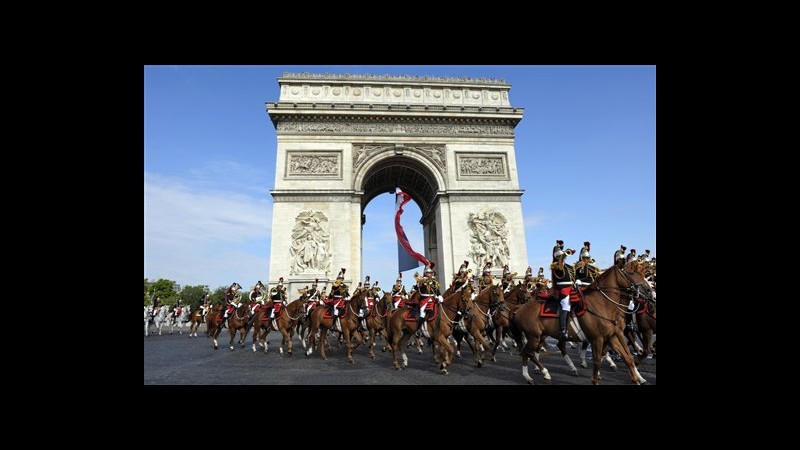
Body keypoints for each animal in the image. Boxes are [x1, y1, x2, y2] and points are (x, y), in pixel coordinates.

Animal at [512, 262, 656, 384]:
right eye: (631, 273)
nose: (649, 292)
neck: (602, 304)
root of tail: (520, 308)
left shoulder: (612, 336)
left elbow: (627, 357)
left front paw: (637, 378)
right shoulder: (598, 338)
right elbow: (598, 361)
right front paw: (596, 378)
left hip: (541, 335)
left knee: (532, 352)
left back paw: (533, 375)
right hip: (534, 336)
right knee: (529, 353)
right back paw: (541, 372)